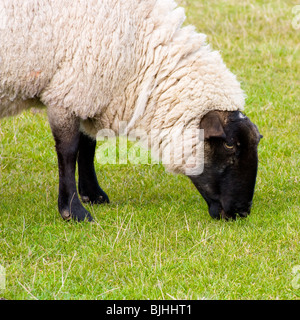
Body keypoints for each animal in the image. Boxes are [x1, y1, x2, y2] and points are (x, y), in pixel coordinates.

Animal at [0, 0, 262, 220]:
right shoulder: (69, 91)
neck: (139, 49)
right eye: (229, 145)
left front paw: (93, 195)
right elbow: (69, 151)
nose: (242, 212)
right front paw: (73, 211)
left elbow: (88, 146)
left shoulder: (90, 92)